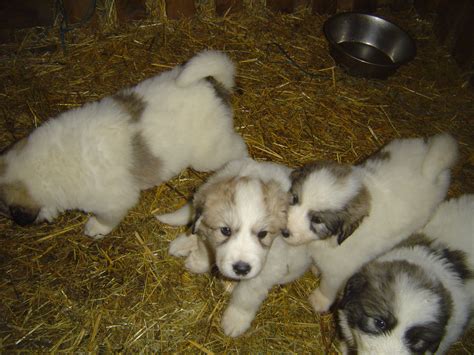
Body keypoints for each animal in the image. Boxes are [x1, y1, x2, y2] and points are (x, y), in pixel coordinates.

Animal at [0, 50, 250, 239]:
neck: (49, 164)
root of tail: (213, 85)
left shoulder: (114, 201)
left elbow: (106, 218)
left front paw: (95, 228)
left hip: (208, 155)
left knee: (238, 148)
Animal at [157, 159, 316, 340]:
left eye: (263, 234)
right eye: (225, 230)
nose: (241, 269)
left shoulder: (267, 269)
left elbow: (245, 295)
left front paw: (235, 321)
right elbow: (205, 247)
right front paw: (198, 260)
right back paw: (183, 244)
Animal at [286, 134, 460, 314]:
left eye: (317, 220)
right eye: (295, 199)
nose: (284, 231)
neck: (330, 240)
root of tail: (430, 157)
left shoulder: (338, 271)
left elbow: (328, 286)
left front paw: (319, 301)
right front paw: (316, 268)